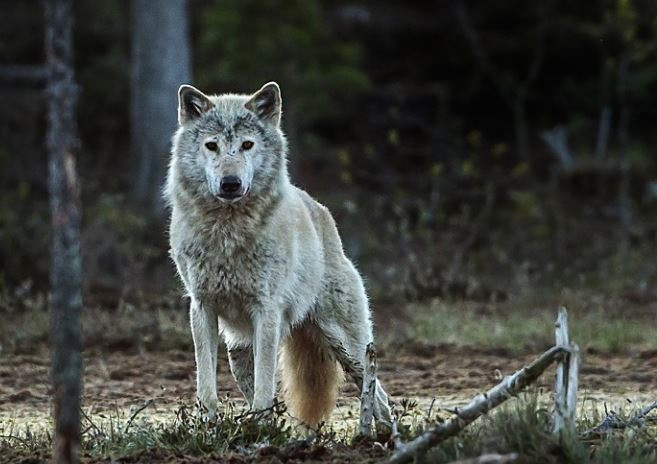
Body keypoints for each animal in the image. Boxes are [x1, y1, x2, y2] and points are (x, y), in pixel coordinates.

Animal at [165, 81, 390, 426]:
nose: (230, 183)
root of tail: (321, 210)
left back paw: (383, 435)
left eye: (247, 145)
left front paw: (259, 428)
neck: (228, 234)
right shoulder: (201, 308)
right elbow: (207, 387)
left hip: (348, 347)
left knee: (379, 397)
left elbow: (265, 387)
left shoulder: (266, 311)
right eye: (212, 146)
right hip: (239, 353)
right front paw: (208, 427)